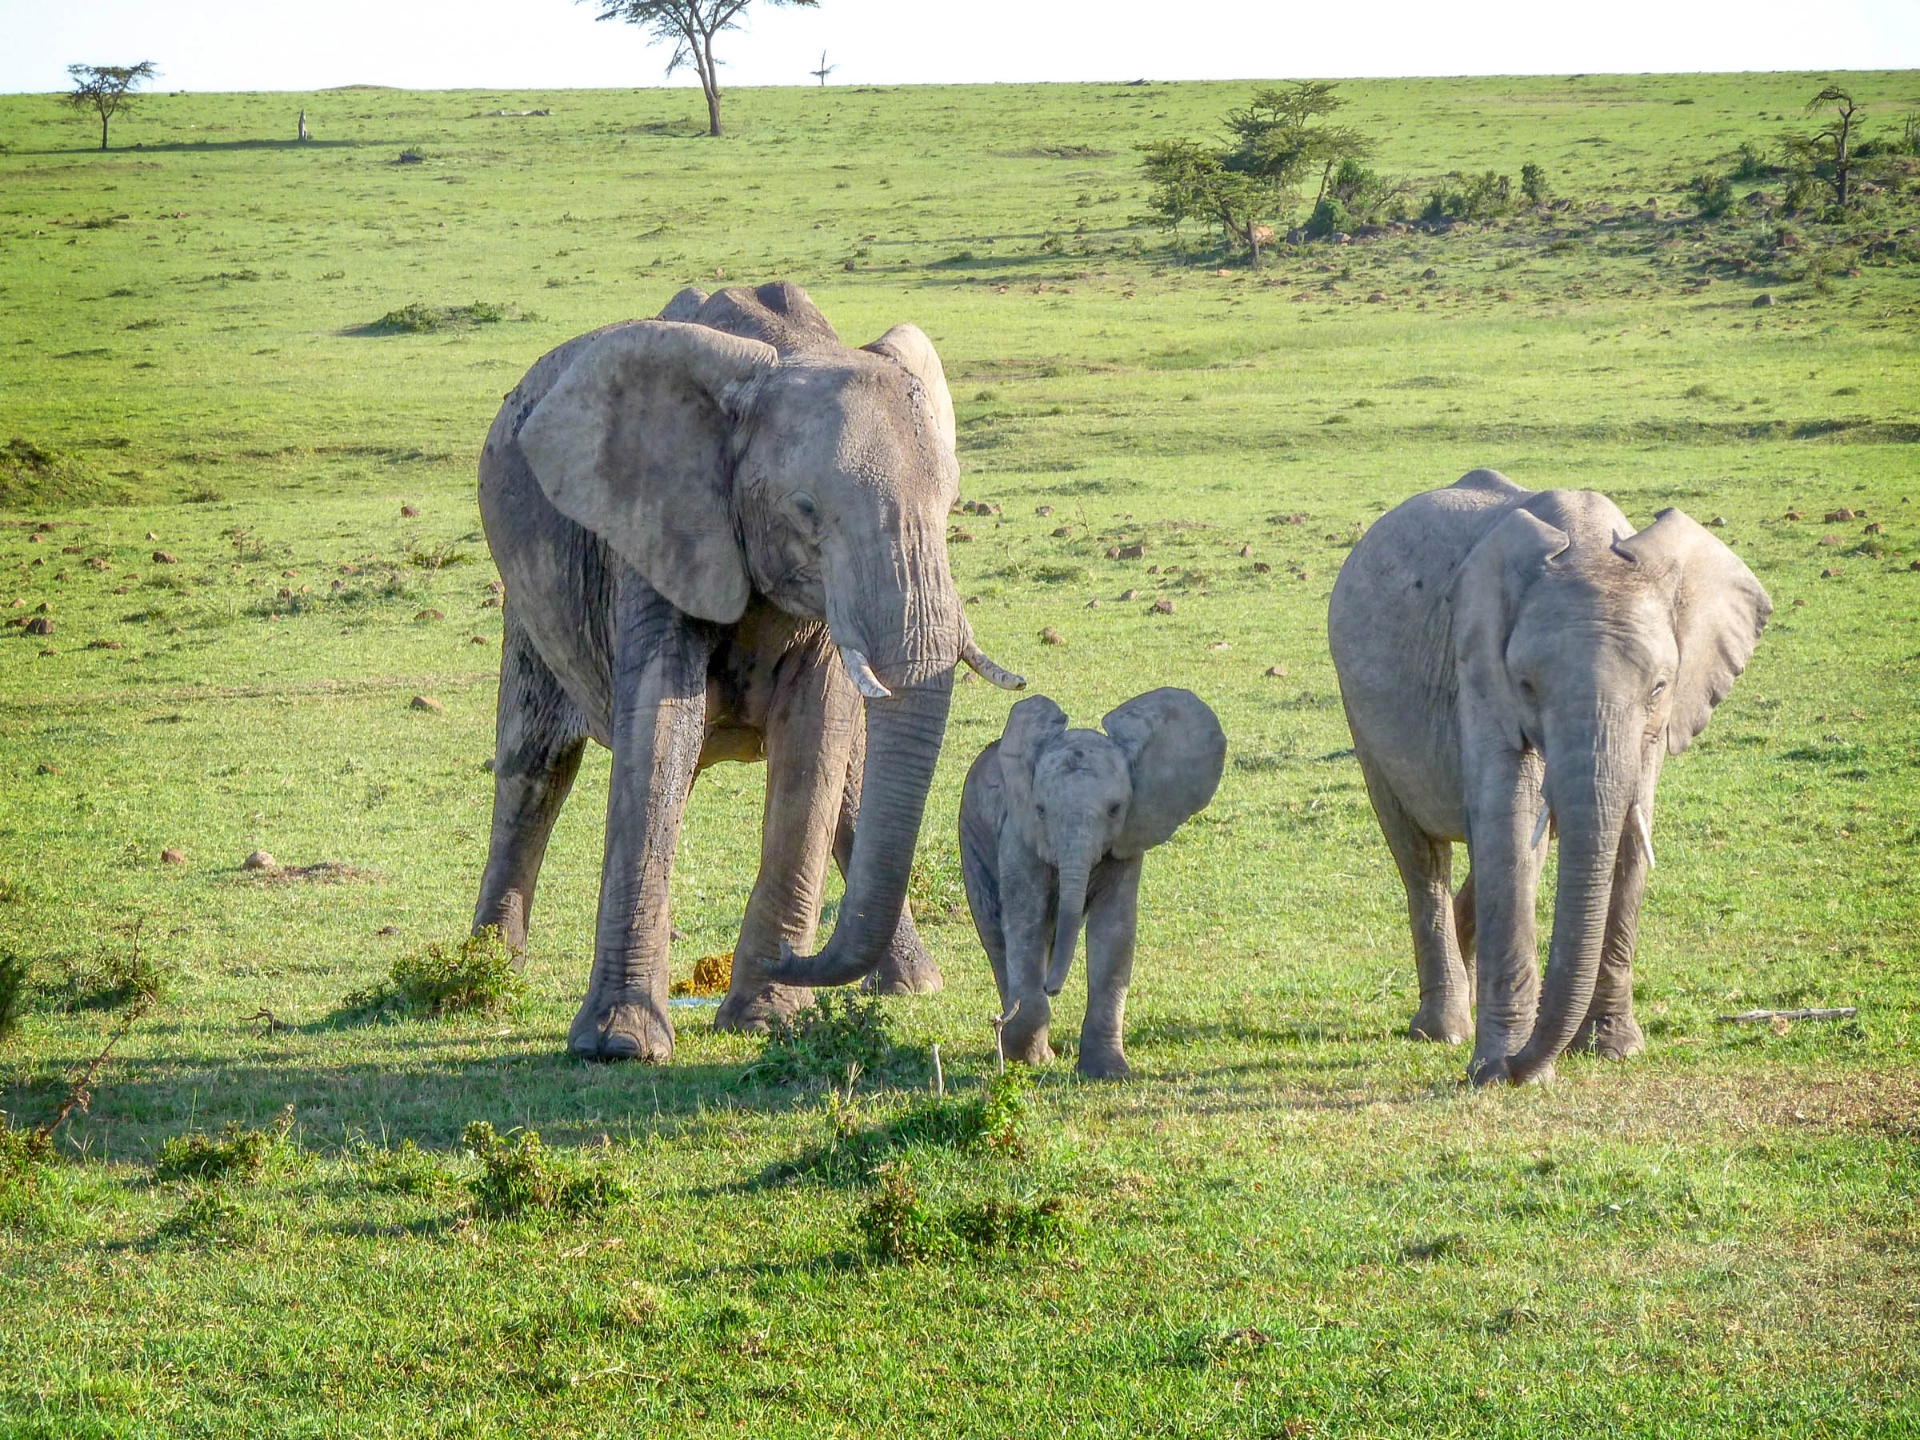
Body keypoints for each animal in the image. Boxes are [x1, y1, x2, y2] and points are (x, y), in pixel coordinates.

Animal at [474, 288, 1029, 1067]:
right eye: (806, 510)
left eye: (952, 505)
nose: (790, 960)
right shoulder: (654, 527)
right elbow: (661, 731)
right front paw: (619, 1045)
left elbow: (816, 745)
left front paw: (767, 1019)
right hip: (526, 603)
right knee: (534, 768)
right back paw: (483, 977)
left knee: (850, 776)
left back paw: (911, 987)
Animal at [960, 691, 1228, 1082]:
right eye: (1040, 810)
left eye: (1115, 809)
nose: (1051, 987)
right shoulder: (1019, 836)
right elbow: (1025, 921)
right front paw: (1028, 1059)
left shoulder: (1129, 840)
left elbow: (1114, 930)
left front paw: (1108, 1073)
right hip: (971, 837)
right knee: (996, 935)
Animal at [1336, 468, 1766, 1090]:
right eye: (1527, 685)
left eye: (1660, 686)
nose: (1519, 1066)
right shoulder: (1478, 670)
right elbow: (1511, 823)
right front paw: (1496, 1072)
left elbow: (1627, 831)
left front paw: (1613, 1050)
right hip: (1360, 714)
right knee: (1421, 857)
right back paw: (1444, 1031)